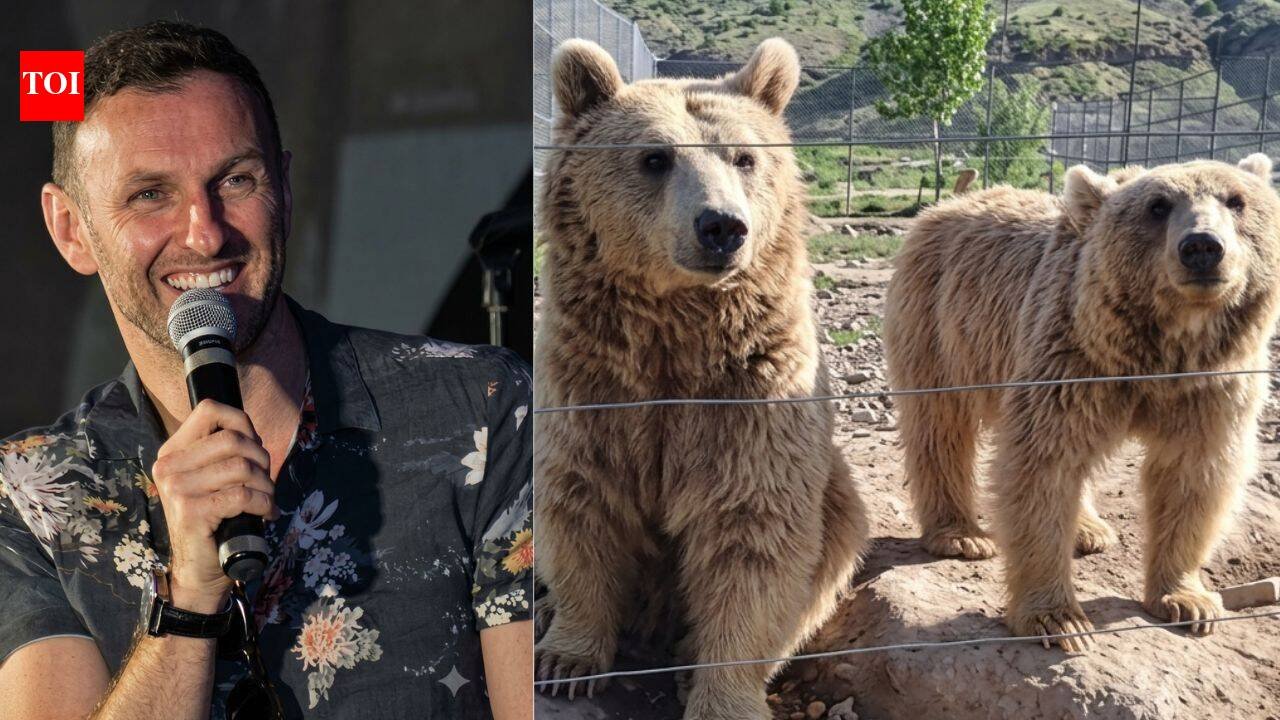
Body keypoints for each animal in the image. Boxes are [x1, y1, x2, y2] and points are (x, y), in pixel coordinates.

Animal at [534, 38, 869, 718]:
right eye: (655, 157)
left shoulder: (752, 394)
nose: (722, 226)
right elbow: (581, 502)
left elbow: (754, 538)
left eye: (744, 156)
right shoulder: (590, 381)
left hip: (840, 494)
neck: (673, 332)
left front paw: (722, 695)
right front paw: (566, 660)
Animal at [883, 155, 1280, 651]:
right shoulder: (1071, 362)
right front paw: (1058, 619)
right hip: (941, 326)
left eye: (1236, 200)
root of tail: (950, 202)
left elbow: (1193, 476)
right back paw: (960, 535)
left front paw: (1188, 600)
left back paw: (1089, 530)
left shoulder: (1208, 387)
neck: (1160, 352)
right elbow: (1042, 469)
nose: (1203, 247)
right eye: (1157, 205)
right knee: (939, 426)